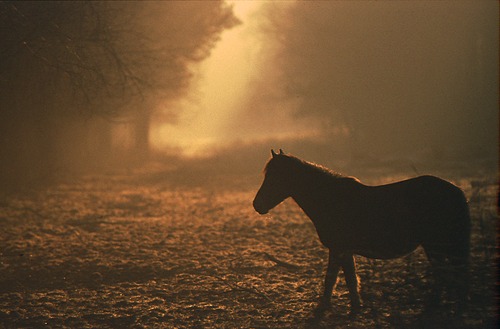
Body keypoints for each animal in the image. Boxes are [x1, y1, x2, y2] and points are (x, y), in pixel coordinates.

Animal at [252, 150, 470, 312]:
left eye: (274, 178)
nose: (257, 205)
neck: (330, 200)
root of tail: (456, 191)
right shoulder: (344, 251)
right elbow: (349, 279)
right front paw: (355, 307)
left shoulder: (338, 249)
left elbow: (332, 279)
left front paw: (327, 307)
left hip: (436, 246)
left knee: (445, 275)